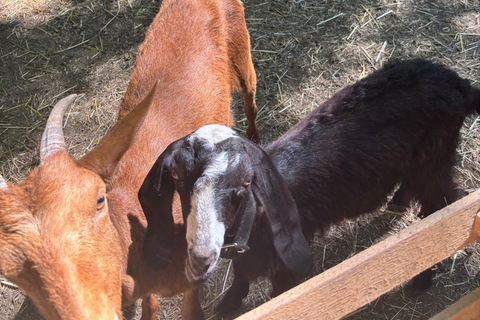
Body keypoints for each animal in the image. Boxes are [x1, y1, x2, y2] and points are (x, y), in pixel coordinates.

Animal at [0, 0, 258, 318]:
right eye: (8, 266)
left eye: (99, 200)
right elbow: (151, 303)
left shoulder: (193, 277)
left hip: (242, 50)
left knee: (250, 97)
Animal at [138, 58, 480, 314]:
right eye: (177, 179)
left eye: (245, 183)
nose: (202, 255)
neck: (256, 219)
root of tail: (458, 84)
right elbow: (240, 277)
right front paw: (227, 304)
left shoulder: (287, 272)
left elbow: (279, 299)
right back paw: (399, 200)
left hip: (434, 161)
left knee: (444, 208)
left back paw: (422, 278)